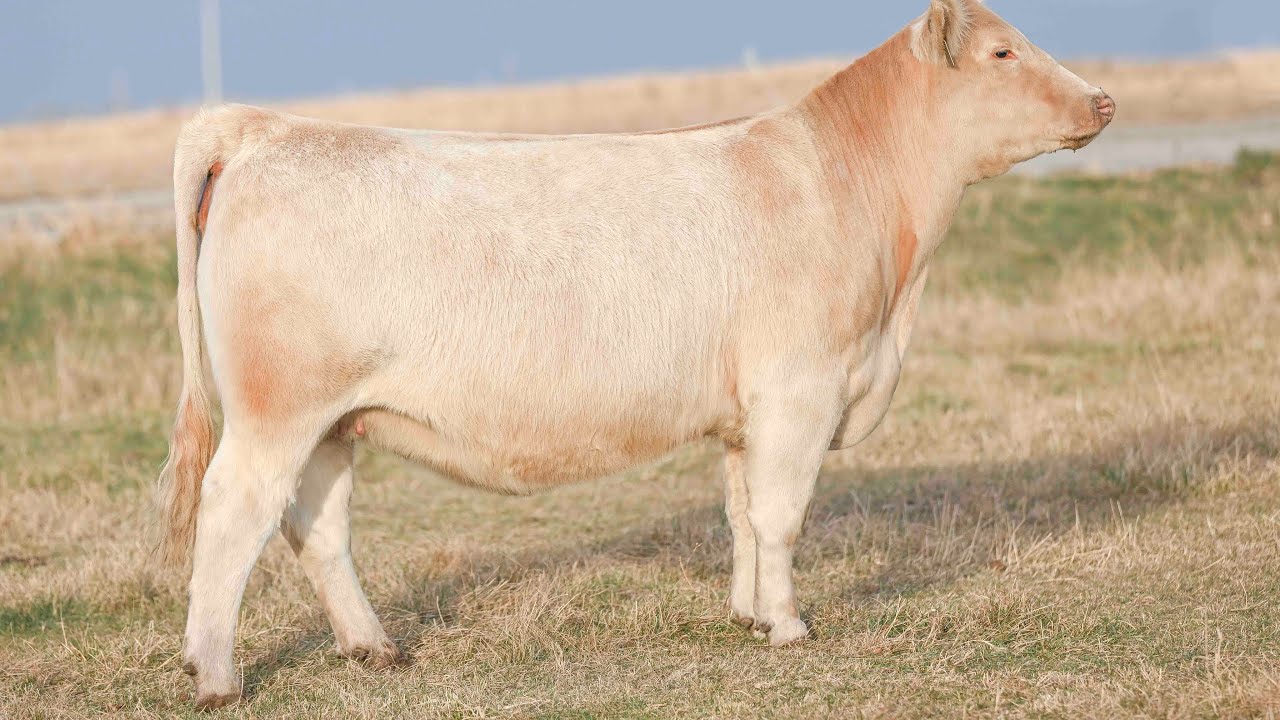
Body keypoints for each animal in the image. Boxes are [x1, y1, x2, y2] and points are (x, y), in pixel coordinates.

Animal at [157, 0, 1113, 708]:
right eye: (1002, 51)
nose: (1103, 101)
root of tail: (262, 128)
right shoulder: (798, 390)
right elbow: (782, 516)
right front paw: (791, 627)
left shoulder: (747, 411)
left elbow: (741, 513)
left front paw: (749, 617)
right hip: (277, 410)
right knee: (234, 512)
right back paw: (215, 676)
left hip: (331, 419)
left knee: (316, 526)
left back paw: (373, 648)